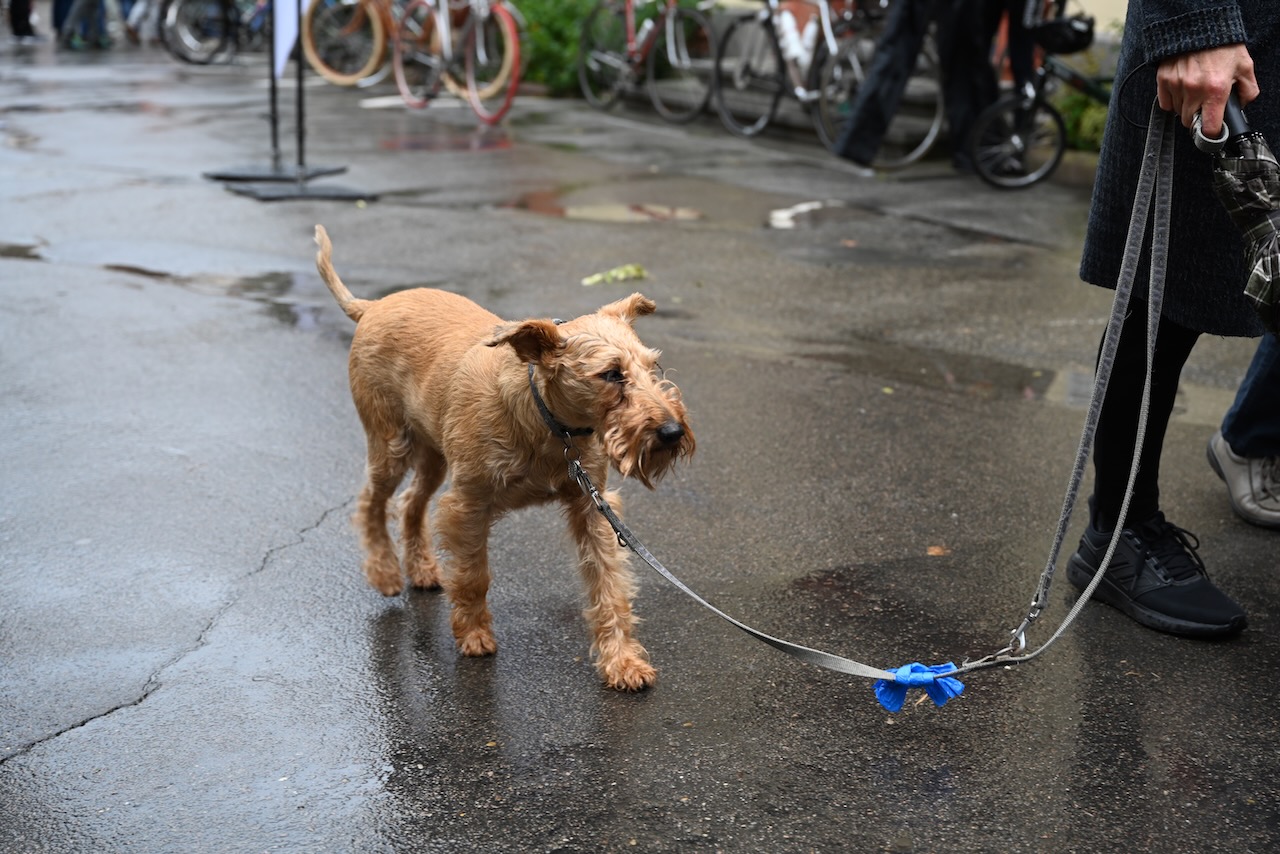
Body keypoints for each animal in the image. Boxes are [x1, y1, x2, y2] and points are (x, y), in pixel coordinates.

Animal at [314, 225, 694, 690]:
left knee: (409, 503)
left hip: (434, 456)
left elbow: (609, 586)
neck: (549, 424)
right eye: (611, 374)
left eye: (652, 367)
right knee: (372, 500)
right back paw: (385, 572)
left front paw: (621, 661)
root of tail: (371, 307)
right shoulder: (468, 505)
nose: (673, 431)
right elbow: (473, 576)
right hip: (391, 445)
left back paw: (420, 569)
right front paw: (474, 635)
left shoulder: (592, 507)